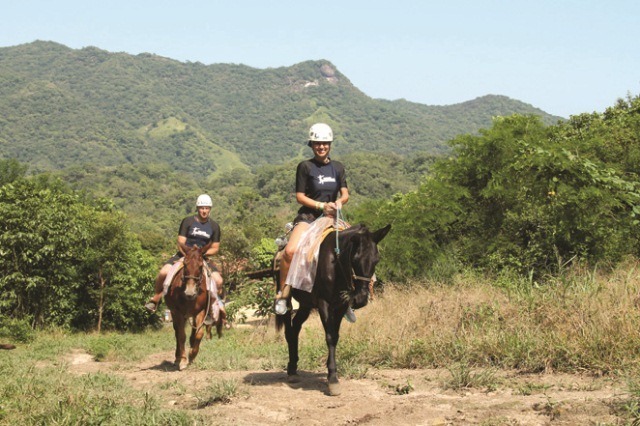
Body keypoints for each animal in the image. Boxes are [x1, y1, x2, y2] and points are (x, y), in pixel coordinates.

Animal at [276, 223, 390, 396]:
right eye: (354, 259)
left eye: (376, 260)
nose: (361, 299)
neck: (335, 264)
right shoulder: (324, 303)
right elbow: (330, 337)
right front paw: (333, 380)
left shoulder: (341, 304)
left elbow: (335, 336)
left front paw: (332, 375)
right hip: (290, 300)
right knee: (289, 331)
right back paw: (291, 372)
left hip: (306, 305)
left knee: (295, 329)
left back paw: (293, 368)